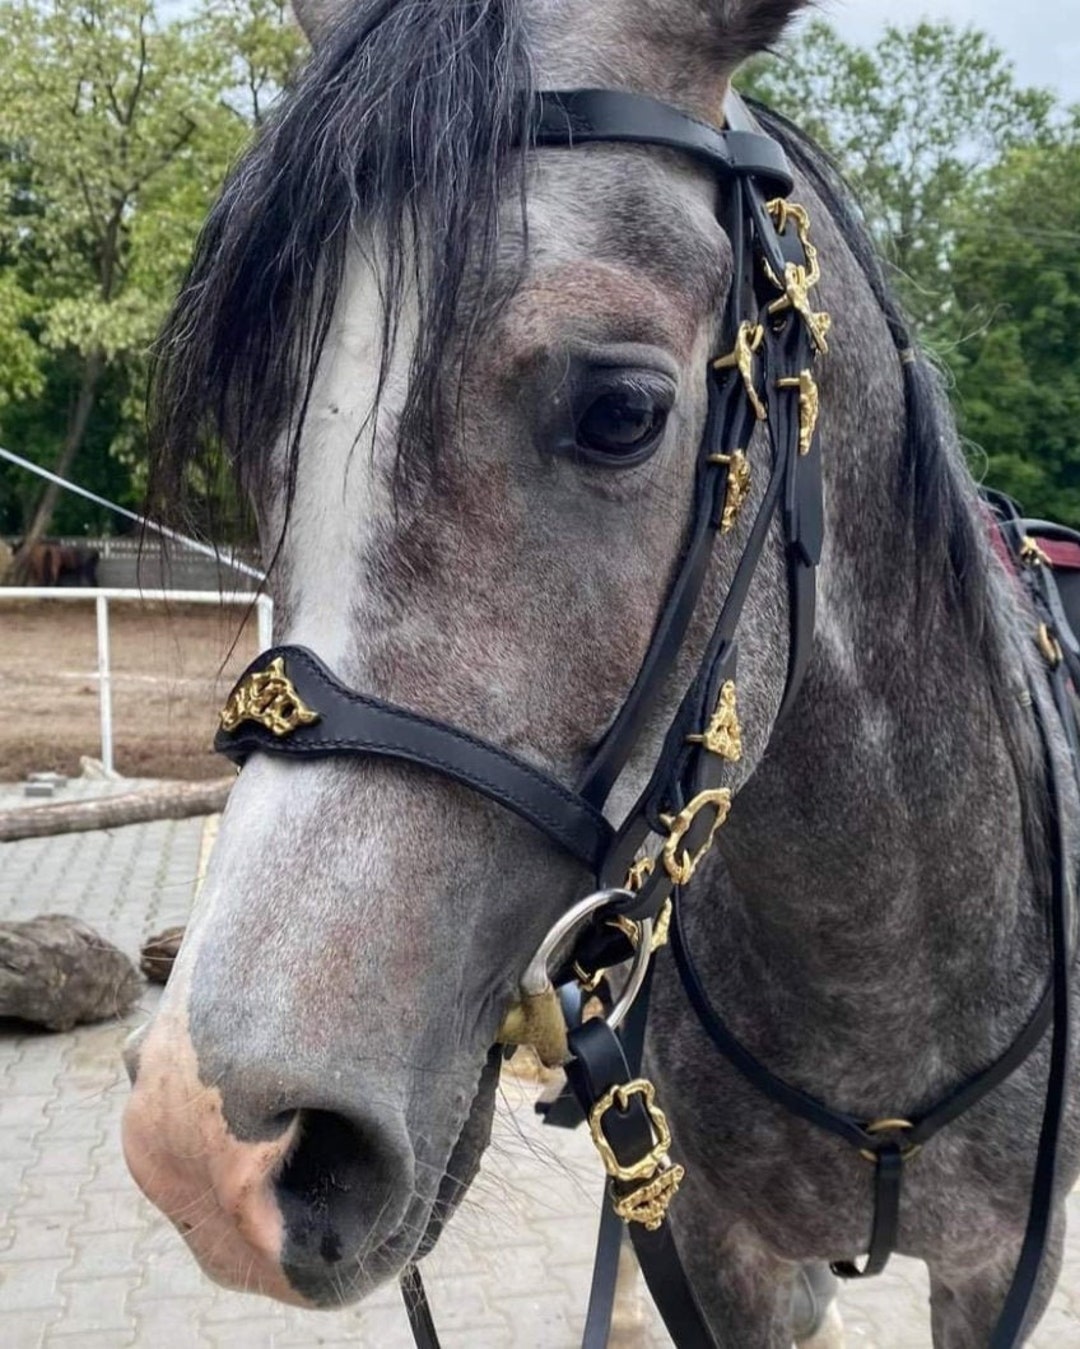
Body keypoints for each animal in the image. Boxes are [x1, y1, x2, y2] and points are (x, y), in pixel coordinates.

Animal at [121, 1, 1080, 1344]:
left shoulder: (1002, 1268)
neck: (881, 961)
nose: (204, 1143)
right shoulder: (730, 1252)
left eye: (623, 410)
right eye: (264, 425)